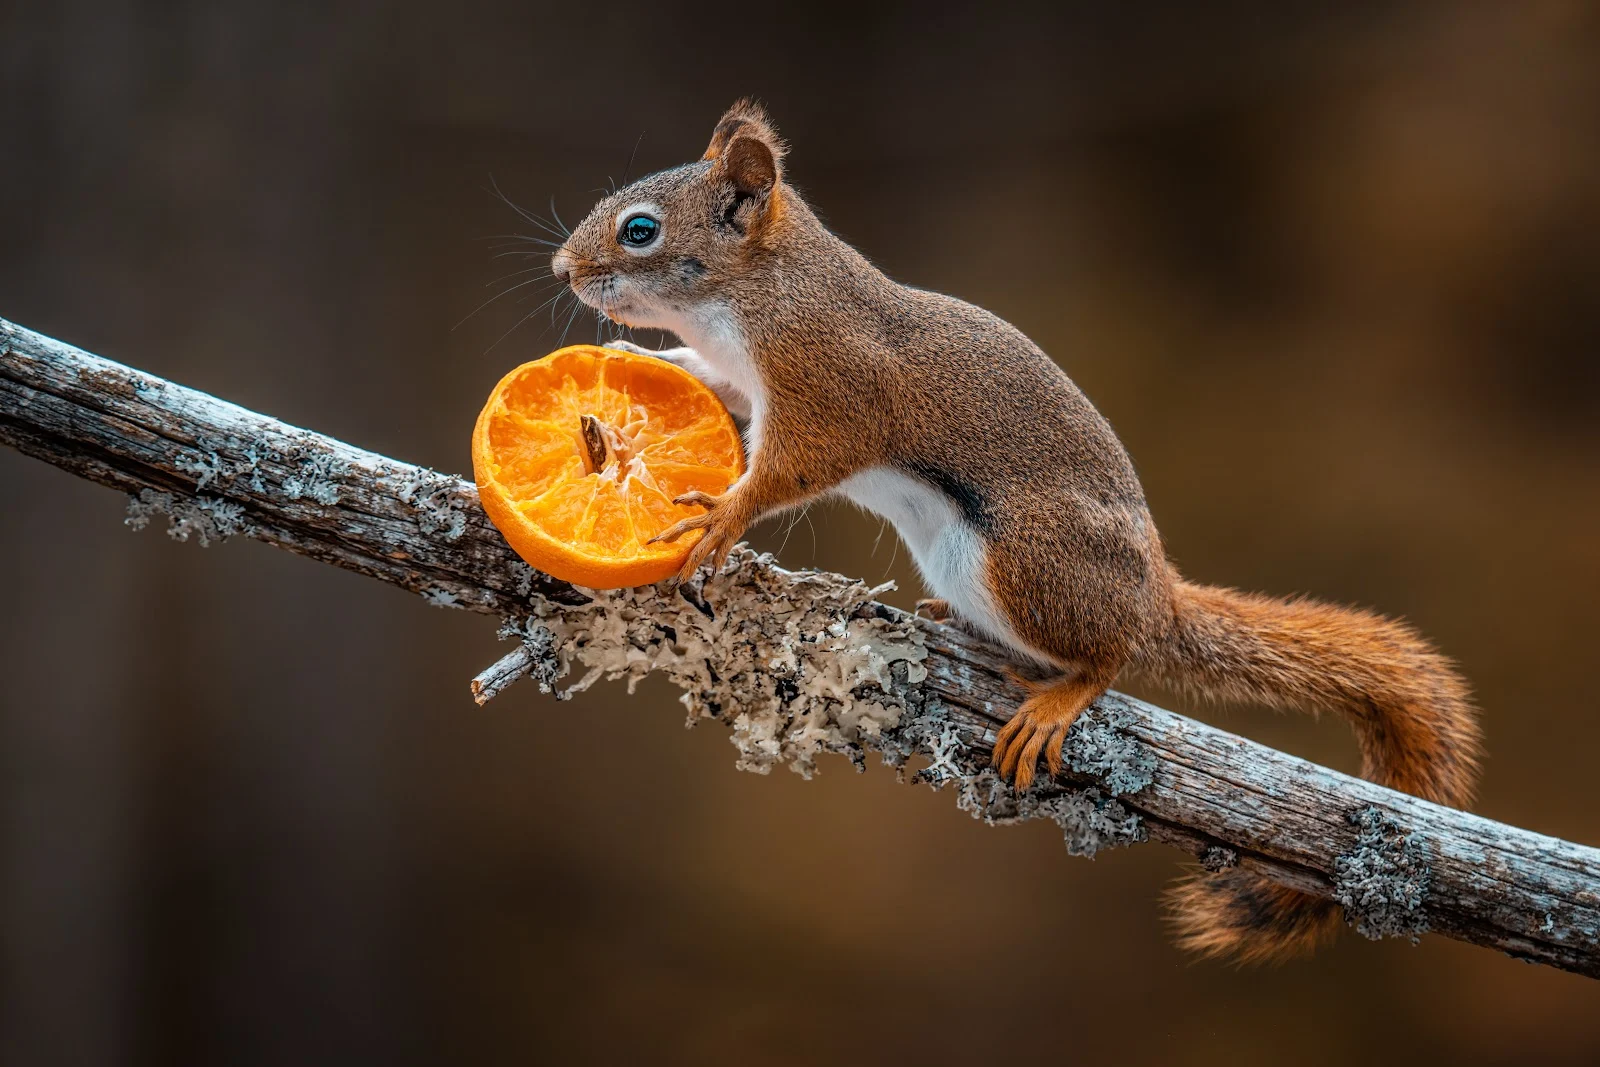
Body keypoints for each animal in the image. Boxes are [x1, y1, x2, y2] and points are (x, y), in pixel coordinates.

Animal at [553, 102, 1484, 966]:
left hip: (1026, 561)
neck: (758, 295)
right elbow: (711, 387)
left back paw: (1060, 695)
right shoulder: (747, 381)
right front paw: (652, 368)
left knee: (1112, 654)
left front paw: (722, 515)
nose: (563, 269)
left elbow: (789, 470)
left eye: (641, 230)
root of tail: (1156, 594)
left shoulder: (832, 389)